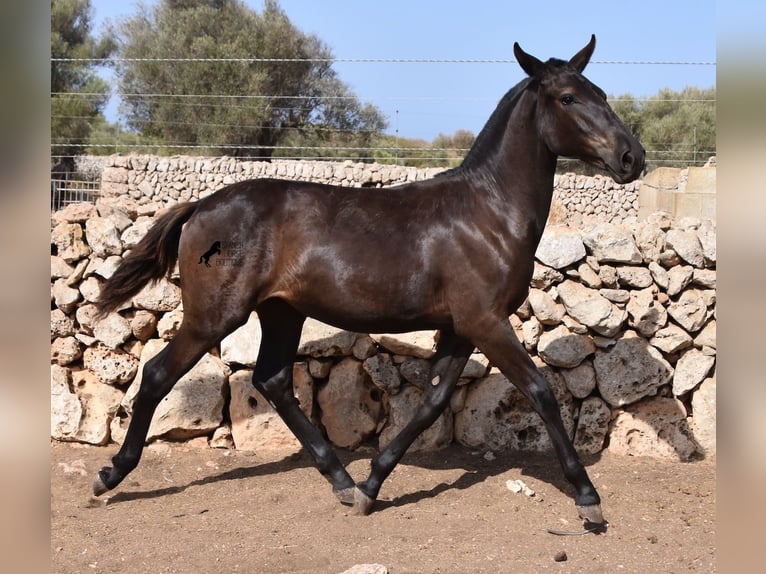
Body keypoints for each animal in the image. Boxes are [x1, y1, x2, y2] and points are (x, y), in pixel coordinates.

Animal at [97, 37, 648, 532]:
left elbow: (431, 404)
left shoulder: (461, 328)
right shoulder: (486, 322)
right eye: (568, 97)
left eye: (600, 91)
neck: (488, 213)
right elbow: (540, 392)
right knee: (158, 375)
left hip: (282, 311)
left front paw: (371, 486)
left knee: (272, 381)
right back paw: (111, 474)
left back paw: (342, 481)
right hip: (215, 315)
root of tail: (201, 207)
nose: (632, 158)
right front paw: (588, 499)